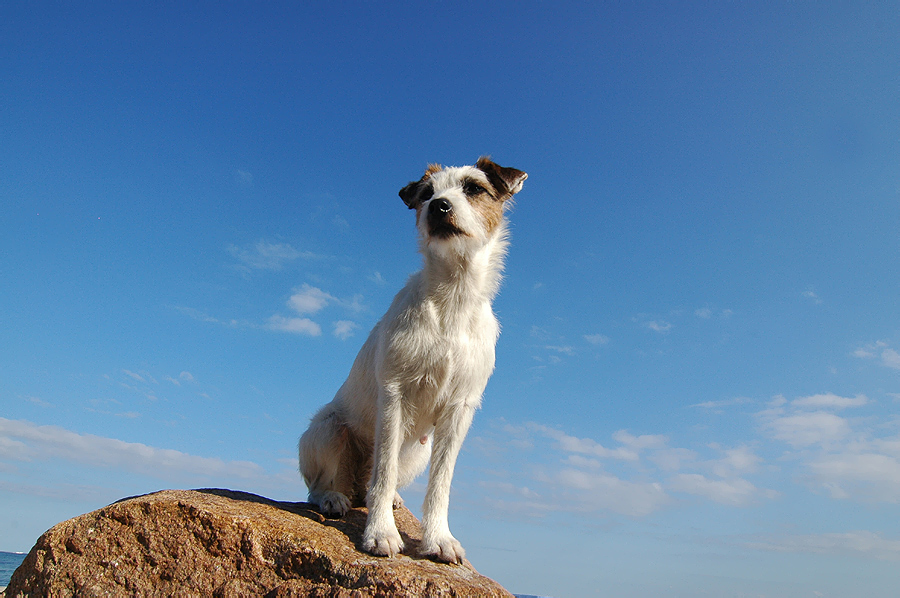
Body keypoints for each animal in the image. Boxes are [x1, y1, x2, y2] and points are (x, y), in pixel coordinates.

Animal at [300, 157, 528, 564]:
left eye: (474, 188)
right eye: (426, 193)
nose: (439, 206)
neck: (452, 296)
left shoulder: (459, 410)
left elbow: (441, 484)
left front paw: (438, 538)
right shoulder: (395, 395)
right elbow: (383, 470)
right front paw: (380, 534)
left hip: (418, 450)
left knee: (369, 483)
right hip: (326, 430)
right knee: (326, 483)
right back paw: (333, 497)